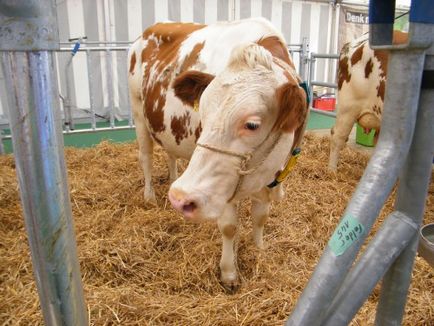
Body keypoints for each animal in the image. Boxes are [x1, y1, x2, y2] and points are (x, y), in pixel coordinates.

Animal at [127, 17, 306, 290]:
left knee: (170, 153)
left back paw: (172, 179)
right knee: (145, 156)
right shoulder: (223, 187)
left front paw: (259, 250)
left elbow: (260, 217)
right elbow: (229, 227)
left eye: (252, 124)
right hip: (138, 112)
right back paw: (150, 197)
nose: (180, 198)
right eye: (203, 111)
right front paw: (229, 273)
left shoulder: (267, 177)